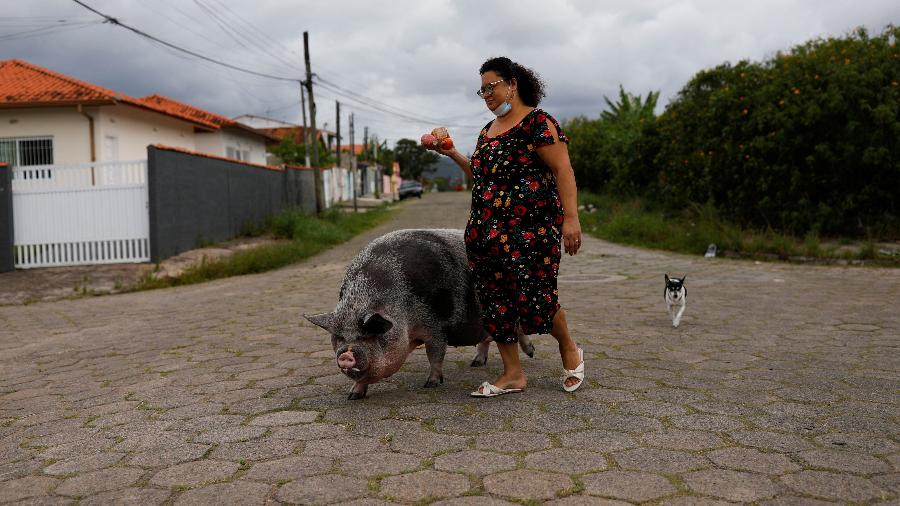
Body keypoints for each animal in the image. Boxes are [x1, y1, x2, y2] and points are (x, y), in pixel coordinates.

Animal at [306, 228, 532, 400]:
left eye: (366, 334)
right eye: (339, 337)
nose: (345, 354)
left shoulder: (436, 326)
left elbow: (435, 354)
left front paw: (431, 384)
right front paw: (353, 396)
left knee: (518, 330)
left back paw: (530, 353)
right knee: (486, 338)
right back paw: (476, 363)